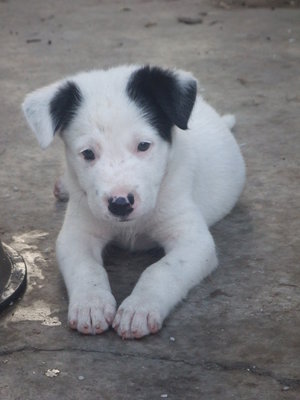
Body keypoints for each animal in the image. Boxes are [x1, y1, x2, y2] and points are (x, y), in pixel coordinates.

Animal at [21, 65, 246, 338]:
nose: (120, 204)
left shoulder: (193, 240)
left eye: (144, 145)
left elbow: (161, 270)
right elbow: (86, 268)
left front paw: (139, 308)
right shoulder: (77, 233)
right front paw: (91, 304)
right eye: (88, 153)